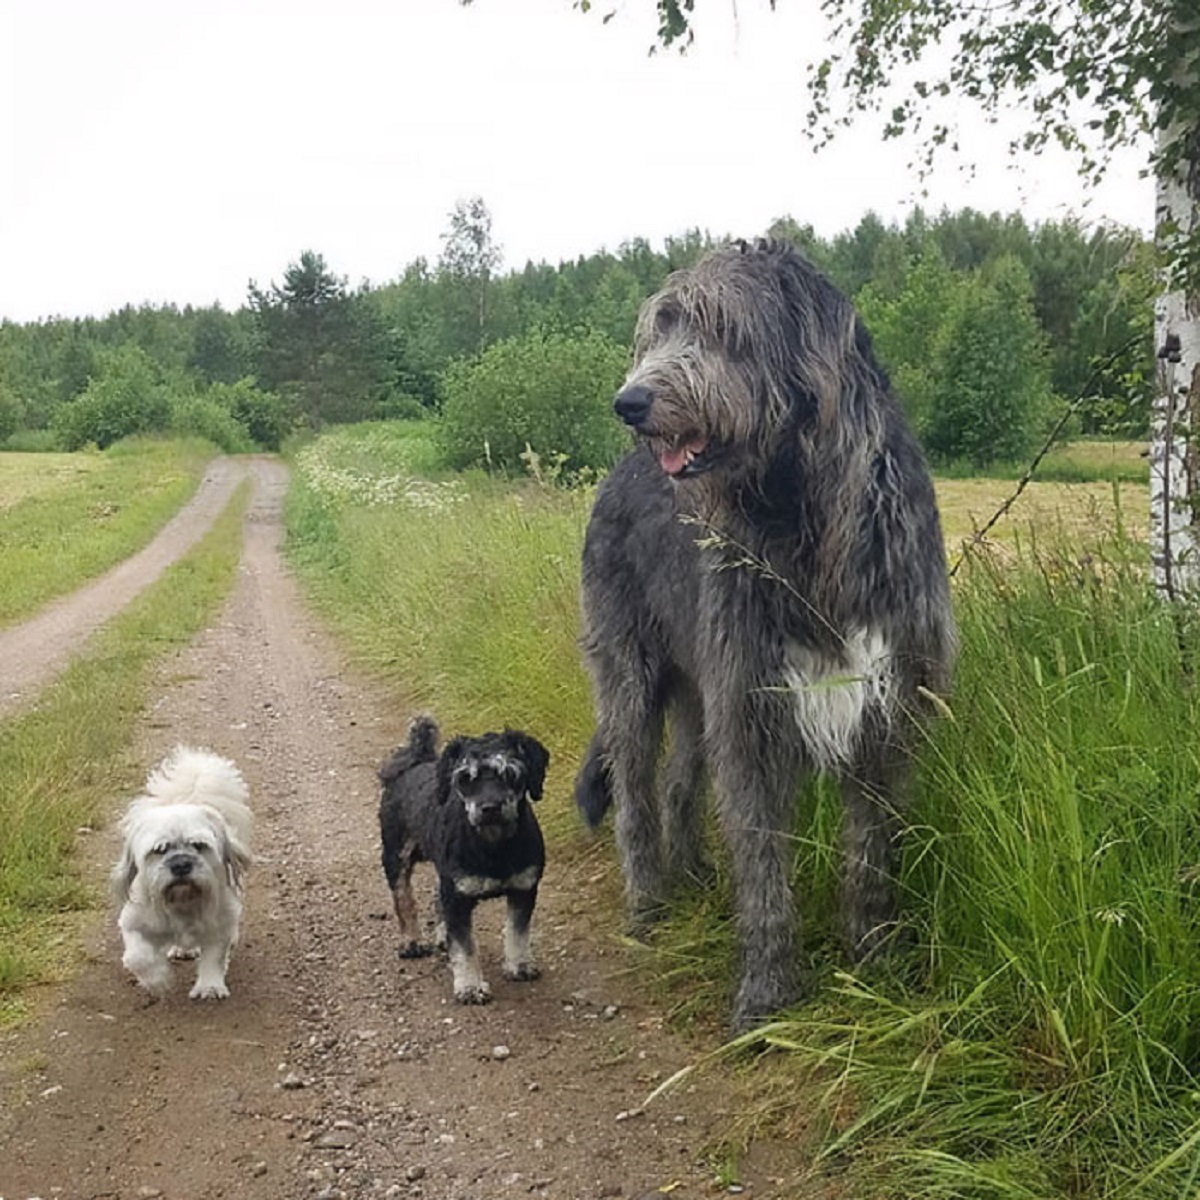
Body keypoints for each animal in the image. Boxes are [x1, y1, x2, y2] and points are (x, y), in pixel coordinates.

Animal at [112, 744, 253, 998]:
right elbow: (138, 957)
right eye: (160, 850)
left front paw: (209, 986)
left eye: (199, 845)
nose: (180, 864)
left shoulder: (218, 924)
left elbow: (214, 957)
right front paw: (157, 980)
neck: (182, 902)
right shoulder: (133, 923)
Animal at [376, 710, 549, 1003]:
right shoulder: (457, 897)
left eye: (510, 774)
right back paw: (412, 941)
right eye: (466, 778)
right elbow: (465, 946)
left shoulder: (523, 889)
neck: (493, 847)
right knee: (404, 900)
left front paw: (519, 965)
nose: (489, 808)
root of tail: (416, 760)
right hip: (395, 856)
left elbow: (517, 932)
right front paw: (470, 986)